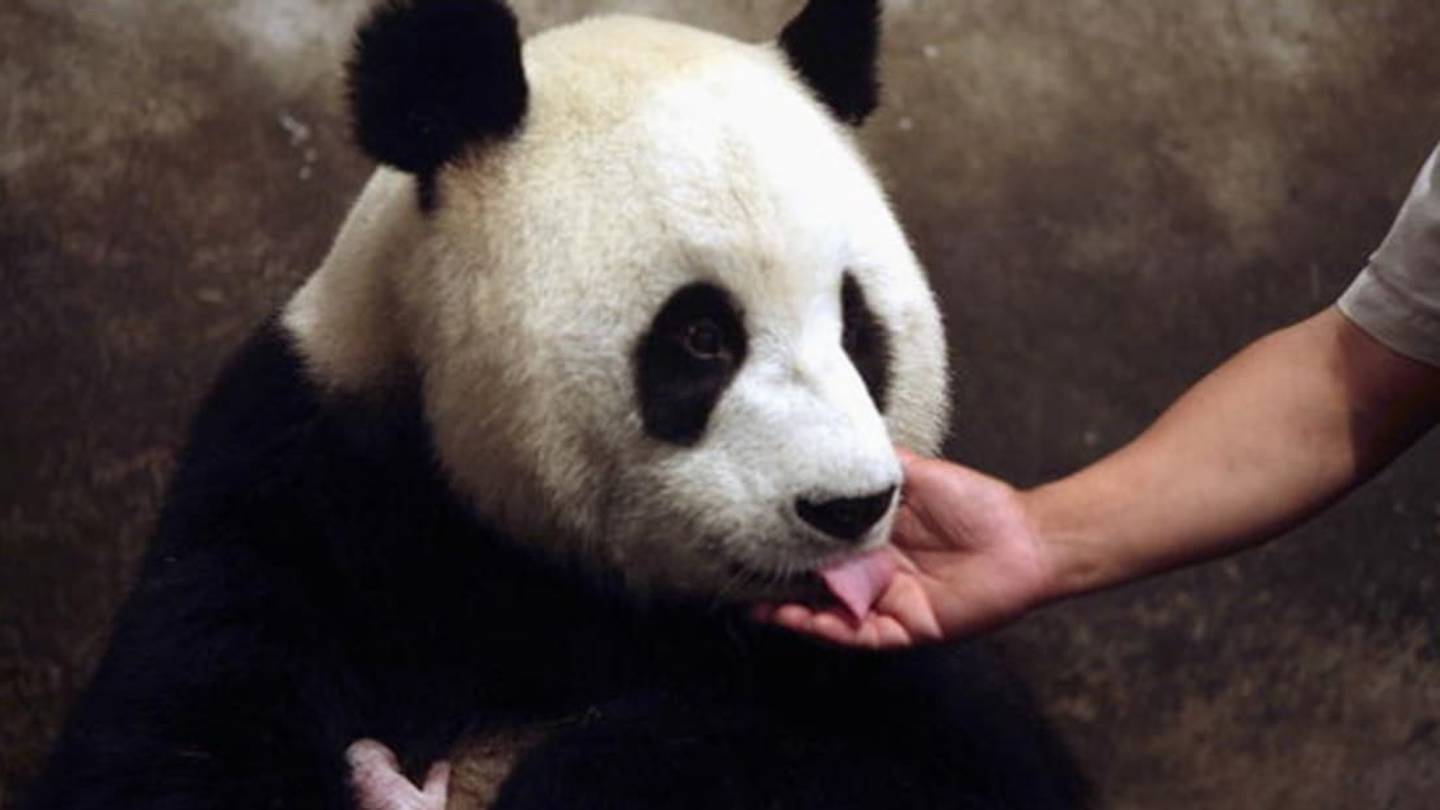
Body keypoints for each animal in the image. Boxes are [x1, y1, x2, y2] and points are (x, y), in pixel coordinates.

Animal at [27, 1, 1087, 808]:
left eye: (858, 326)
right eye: (702, 338)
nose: (849, 508)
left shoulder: (891, 667)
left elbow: (953, 764)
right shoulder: (310, 492)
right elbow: (179, 739)